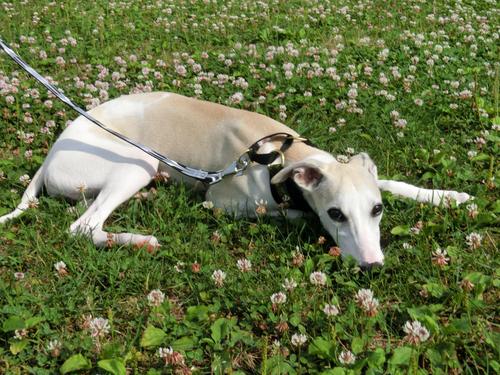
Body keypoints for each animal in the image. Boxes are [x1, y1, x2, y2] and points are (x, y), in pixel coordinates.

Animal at [0, 92, 470, 268]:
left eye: (376, 210)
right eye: (336, 214)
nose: (372, 266)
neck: (281, 156)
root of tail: (50, 154)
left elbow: (393, 182)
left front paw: (448, 196)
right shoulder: (222, 200)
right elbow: (281, 211)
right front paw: (298, 214)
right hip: (135, 161)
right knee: (83, 227)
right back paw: (139, 239)